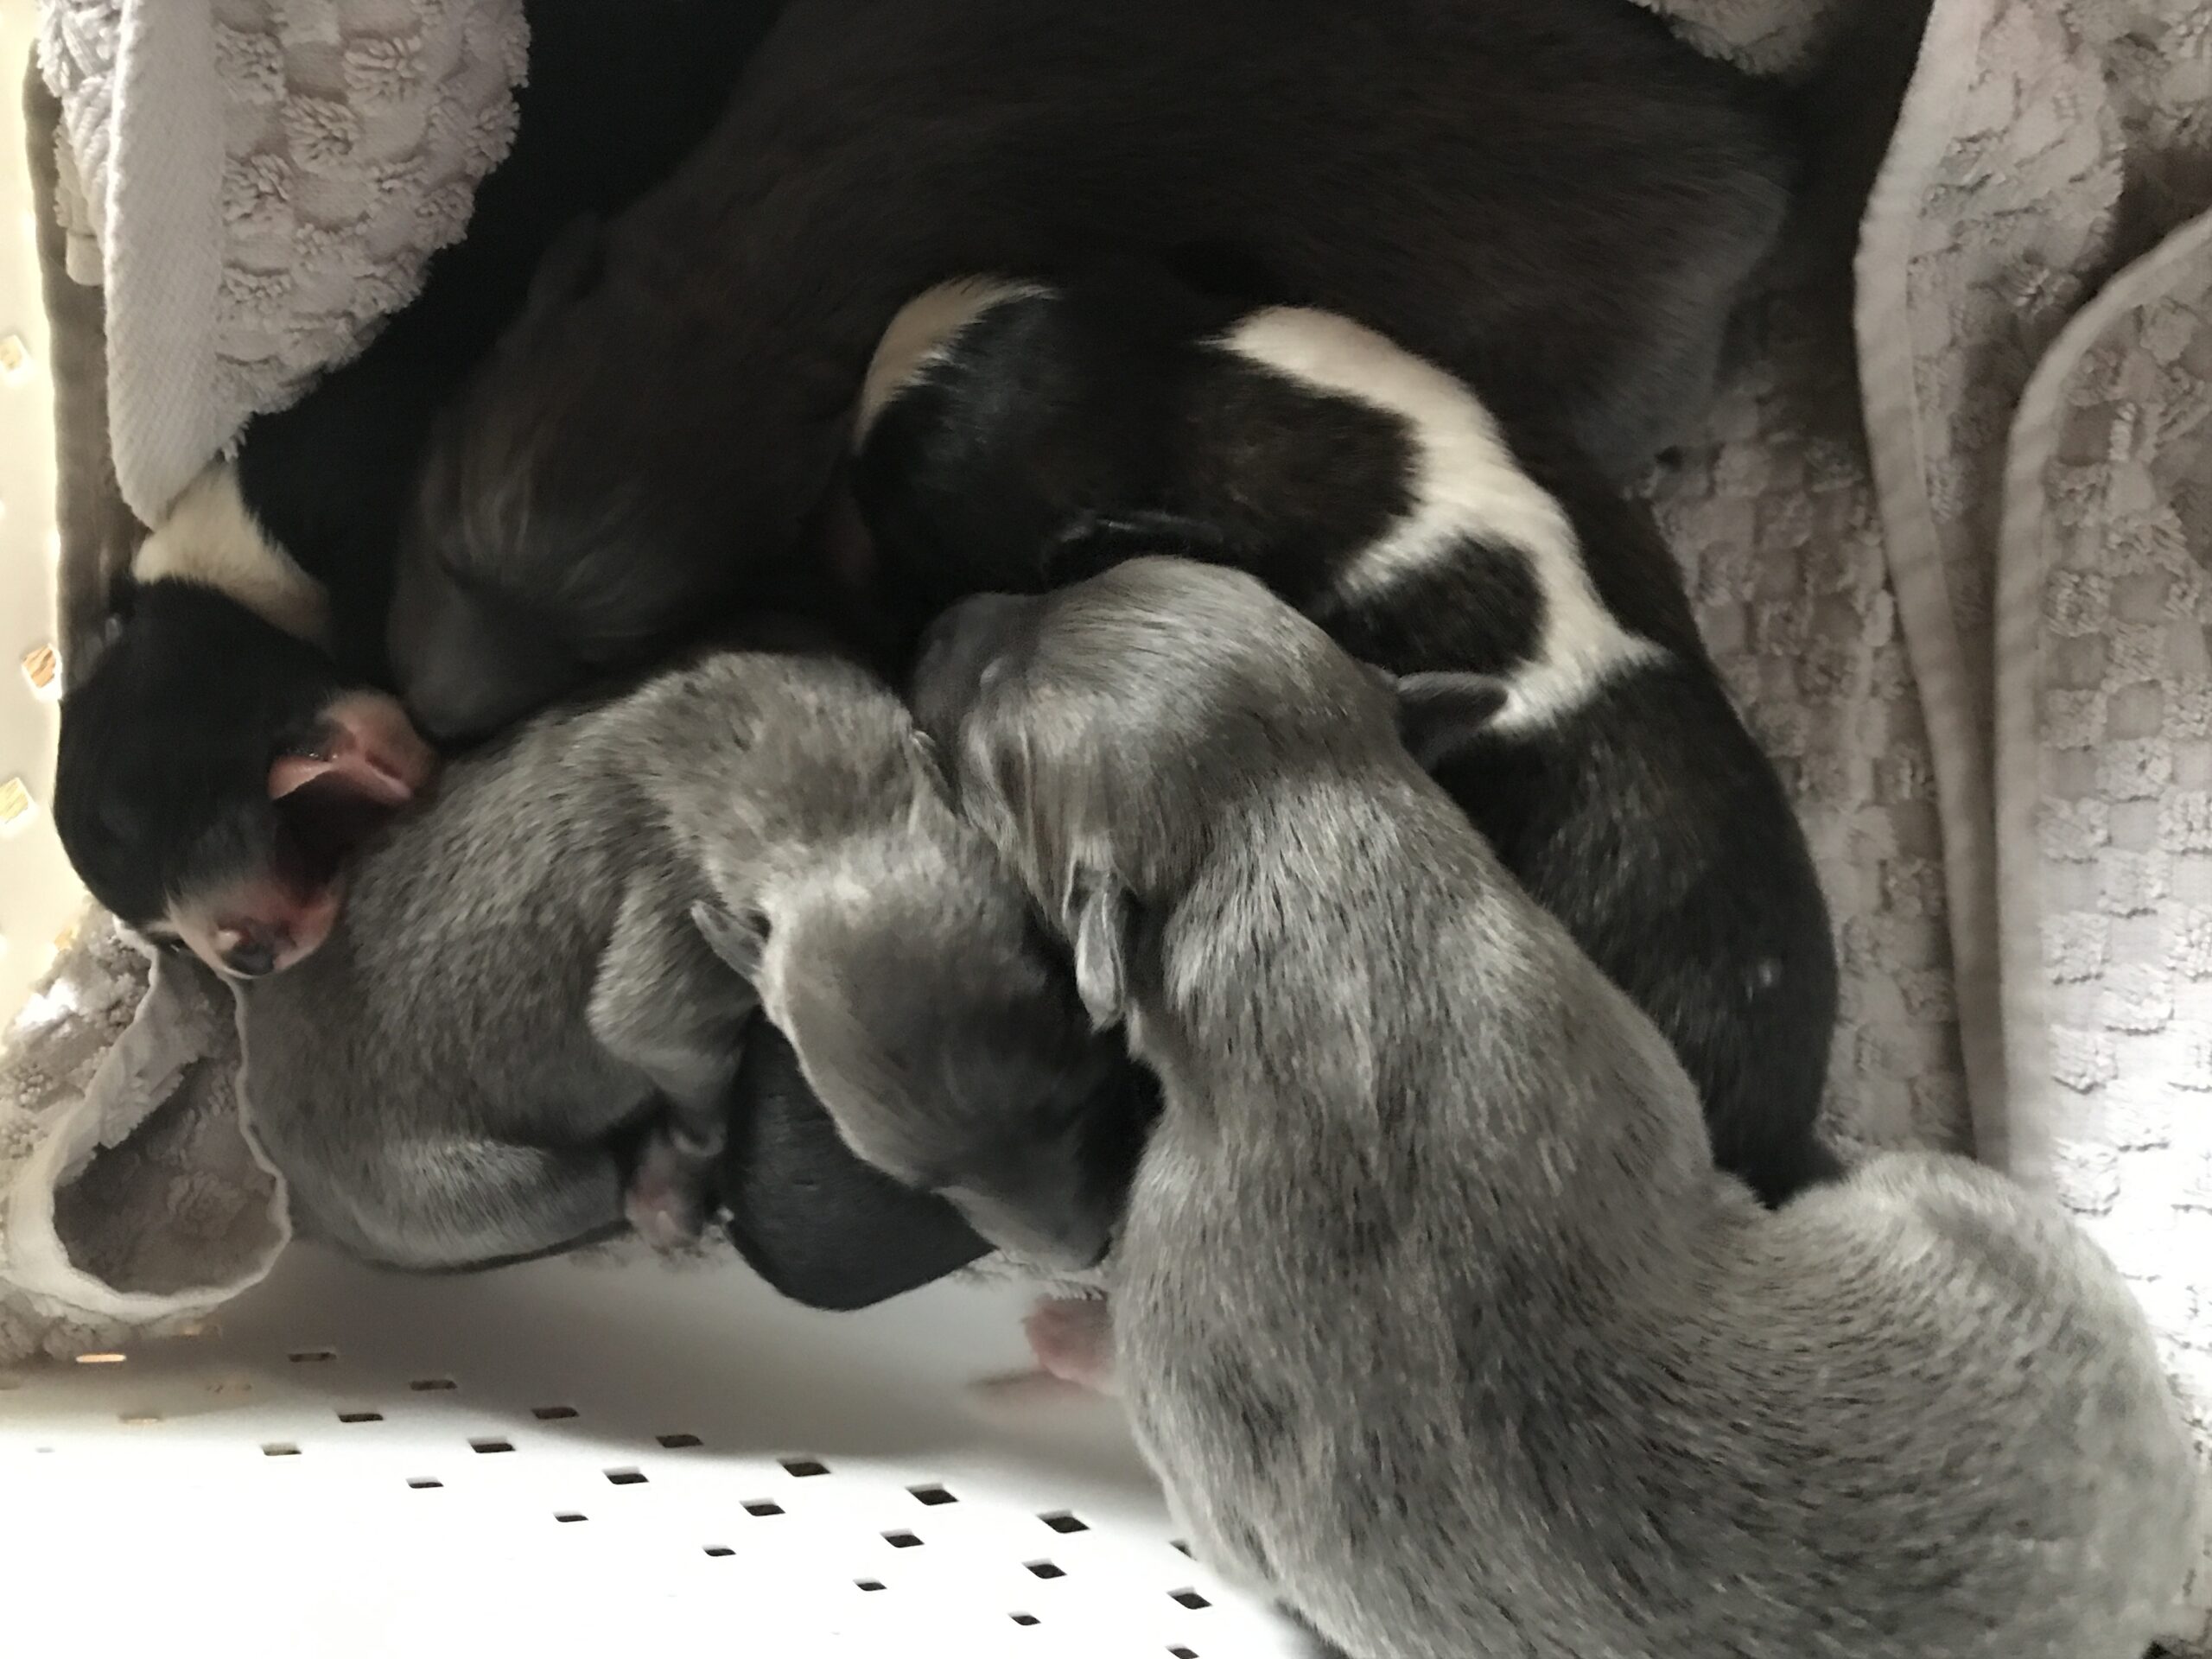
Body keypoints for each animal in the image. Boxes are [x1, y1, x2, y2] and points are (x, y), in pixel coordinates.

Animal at [238, 627, 1126, 1274]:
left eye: (1075, 1093)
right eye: (920, 1186)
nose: (1084, 1259)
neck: (812, 801)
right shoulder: (673, 922)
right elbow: (652, 1034)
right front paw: (684, 1162)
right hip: (458, 1191)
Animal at [877, 558, 2201, 1659]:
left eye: (995, 759)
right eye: (1086, 574)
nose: (936, 620)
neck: (1316, 886)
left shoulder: (1186, 1375)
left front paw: (1063, 1339)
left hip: (1945, 1196)